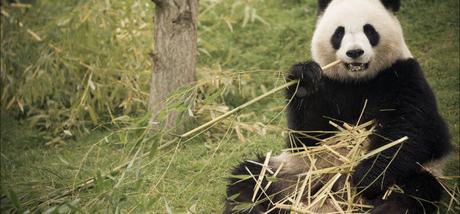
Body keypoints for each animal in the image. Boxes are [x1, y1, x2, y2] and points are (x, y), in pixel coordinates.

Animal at [225, 0, 452, 214]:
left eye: (369, 30)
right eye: (339, 32)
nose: (355, 52)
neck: (358, 80)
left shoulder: (402, 76)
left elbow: (409, 131)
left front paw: (367, 177)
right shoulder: (331, 83)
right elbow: (307, 136)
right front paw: (304, 80)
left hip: (415, 176)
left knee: (410, 195)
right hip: (293, 173)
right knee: (249, 181)